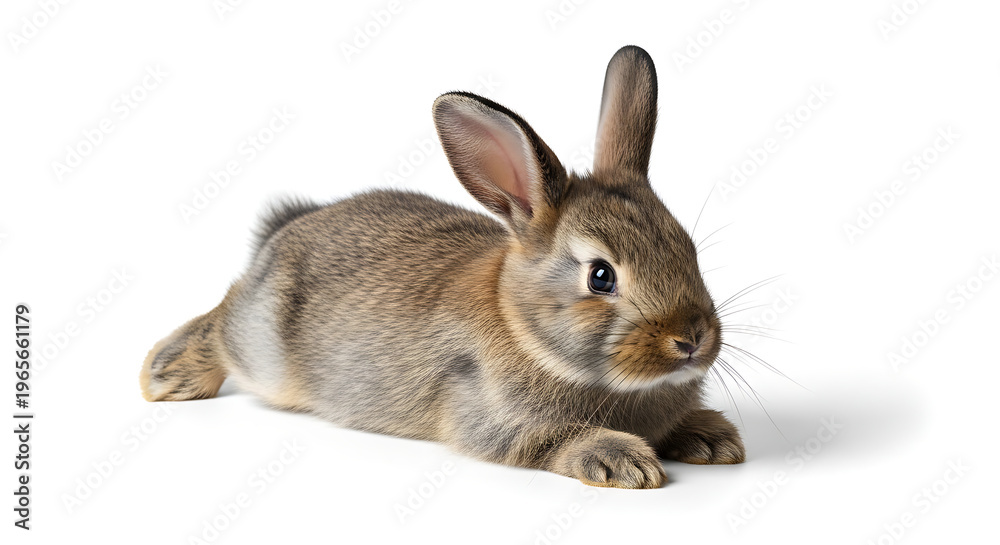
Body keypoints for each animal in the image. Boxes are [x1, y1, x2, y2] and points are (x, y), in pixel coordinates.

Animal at [140, 45, 745, 489]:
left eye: (688, 249)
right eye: (601, 276)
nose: (691, 339)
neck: (527, 332)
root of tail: (280, 239)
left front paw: (712, 439)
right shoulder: (491, 418)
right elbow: (548, 441)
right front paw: (623, 461)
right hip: (262, 347)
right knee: (220, 326)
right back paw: (165, 376)